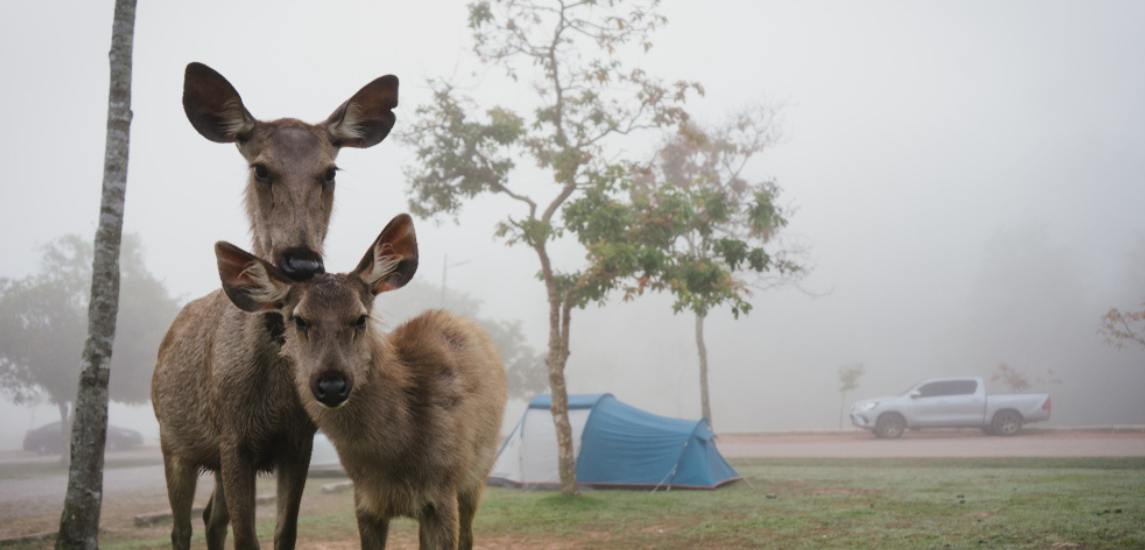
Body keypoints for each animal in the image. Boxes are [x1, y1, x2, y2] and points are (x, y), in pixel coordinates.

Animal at [148, 64, 398, 550]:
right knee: (181, 527)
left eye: (330, 171)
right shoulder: (232, 440)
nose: (301, 261)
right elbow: (248, 538)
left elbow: (284, 532)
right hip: (173, 441)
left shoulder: (298, 442)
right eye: (260, 169)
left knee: (211, 518)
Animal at [215, 214, 506, 550]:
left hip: (477, 476)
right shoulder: (364, 500)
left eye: (360, 318)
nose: (331, 385)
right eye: (299, 320)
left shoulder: (444, 489)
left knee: (469, 535)